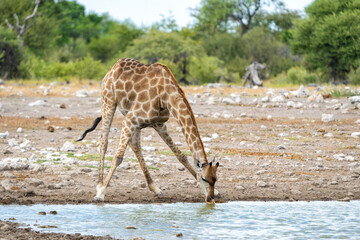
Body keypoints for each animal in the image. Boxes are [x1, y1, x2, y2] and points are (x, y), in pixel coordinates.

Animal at [76, 57, 219, 202]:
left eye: (215, 179)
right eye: (204, 178)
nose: (210, 198)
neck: (165, 95)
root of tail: (114, 67)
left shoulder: (158, 124)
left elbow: (181, 156)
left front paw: (217, 192)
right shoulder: (130, 119)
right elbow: (118, 157)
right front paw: (100, 194)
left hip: (132, 118)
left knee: (135, 145)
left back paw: (155, 188)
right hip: (109, 101)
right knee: (104, 142)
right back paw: (99, 185)